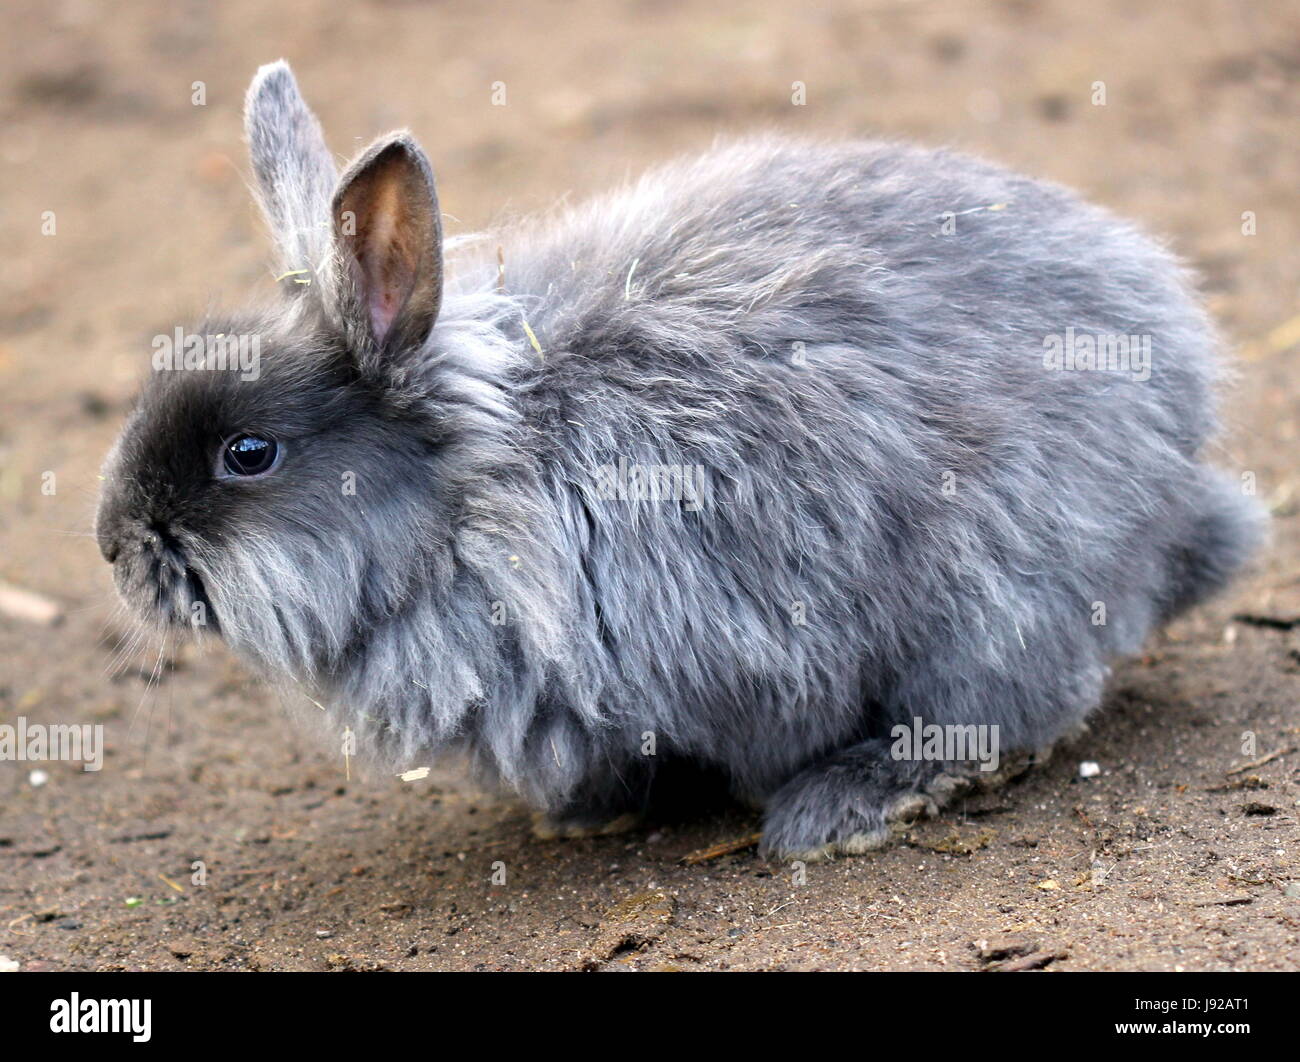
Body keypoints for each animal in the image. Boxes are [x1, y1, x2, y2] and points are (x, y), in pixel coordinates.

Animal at [95, 60, 1264, 861]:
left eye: (249, 453)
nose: (113, 544)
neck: (482, 500)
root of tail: (1184, 470)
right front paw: (588, 814)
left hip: (994, 600)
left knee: (1006, 714)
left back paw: (837, 809)